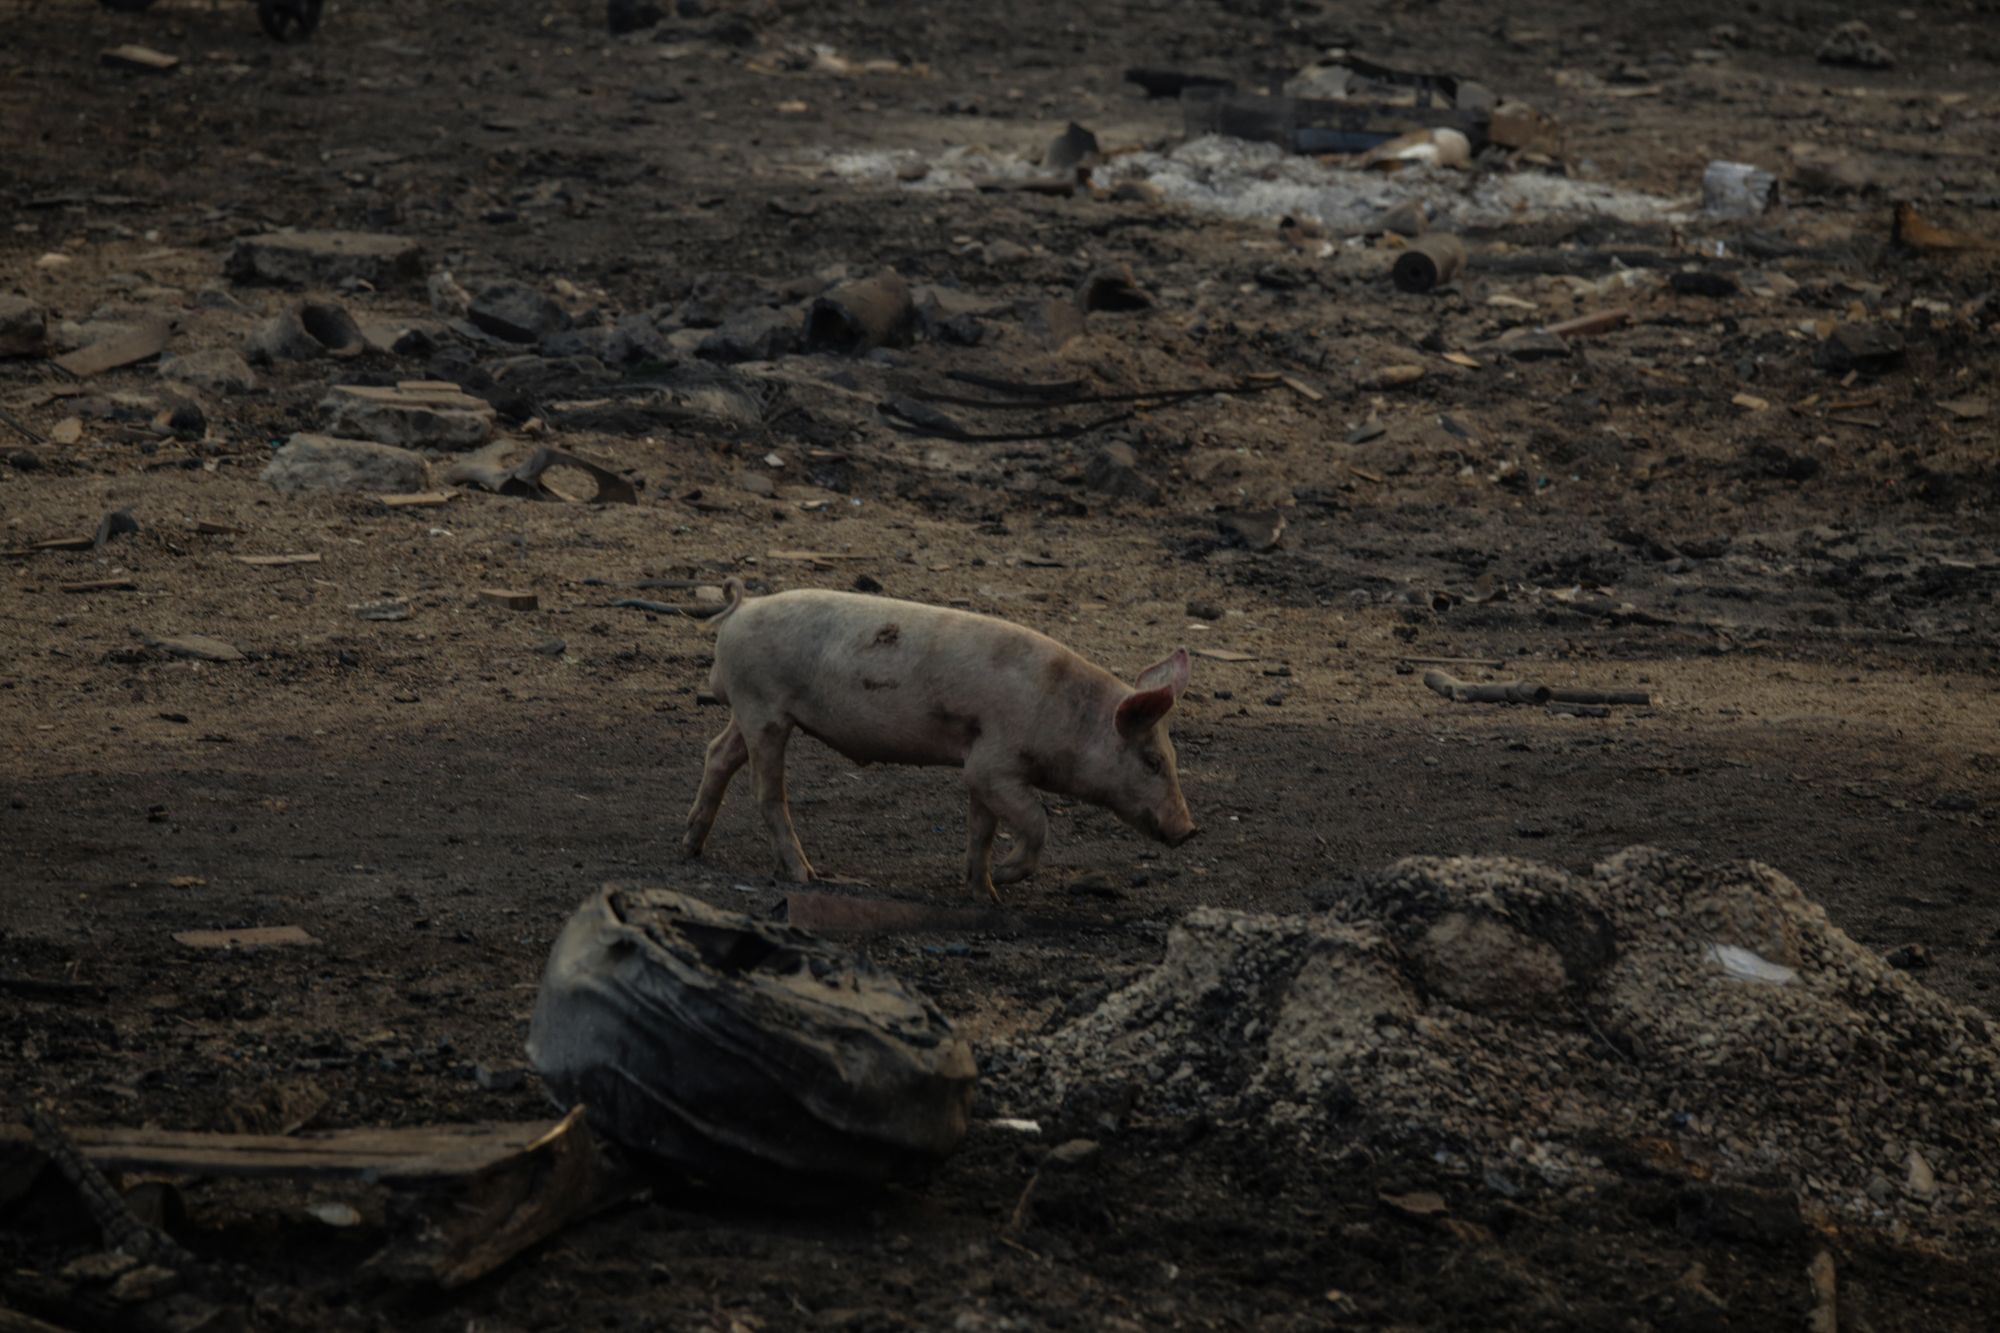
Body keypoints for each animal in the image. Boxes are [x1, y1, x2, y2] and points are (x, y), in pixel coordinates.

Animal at [682, 580, 1197, 898]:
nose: (1189, 830)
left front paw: (984, 893)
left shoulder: (981, 768)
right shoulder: (994, 763)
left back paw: (691, 846)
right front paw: (1006, 877)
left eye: (1173, 757)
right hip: (762, 708)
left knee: (717, 754)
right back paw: (804, 876)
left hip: (750, 712)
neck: (1069, 715)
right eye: (1152, 761)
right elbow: (1036, 821)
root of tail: (741, 608)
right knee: (765, 790)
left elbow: (981, 829)